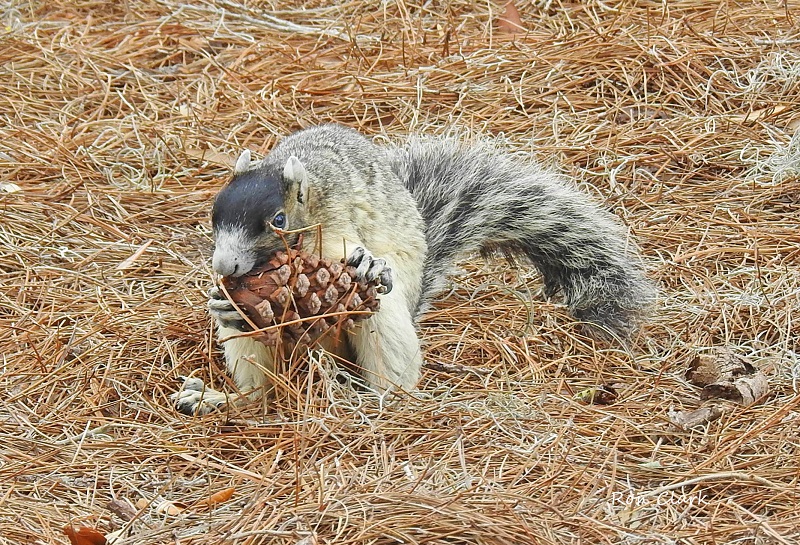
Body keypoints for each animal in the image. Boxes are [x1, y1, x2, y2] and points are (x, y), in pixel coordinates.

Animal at [174, 124, 656, 415]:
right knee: (262, 391)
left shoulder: (339, 221)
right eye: (214, 215)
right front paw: (218, 297)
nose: (224, 265)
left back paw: (375, 400)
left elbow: (355, 249)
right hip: (250, 348)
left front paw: (370, 261)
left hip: (383, 318)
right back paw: (220, 399)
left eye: (277, 219)